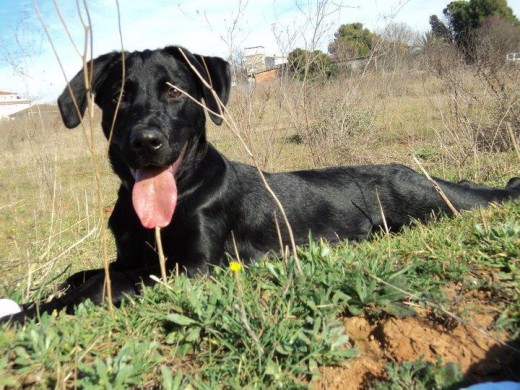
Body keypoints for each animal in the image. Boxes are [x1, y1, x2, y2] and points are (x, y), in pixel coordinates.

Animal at [4, 45, 520, 322]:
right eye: (116, 97)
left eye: (175, 91)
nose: (145, 143)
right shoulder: (130, 257)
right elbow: (89, 273)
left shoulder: (195, 269)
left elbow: (107, 284)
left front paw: (28, 314)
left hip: (440, 200)